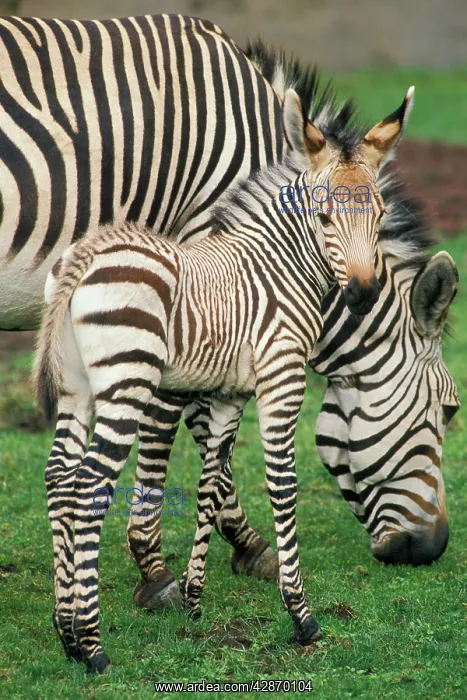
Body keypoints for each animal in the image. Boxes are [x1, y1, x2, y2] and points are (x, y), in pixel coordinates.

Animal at [33, 87, 412, 672]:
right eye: (325, 217)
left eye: (381, 213)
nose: (364, 294)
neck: (280, 266)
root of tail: (87, 253)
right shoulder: (281, 379)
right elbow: (282, 484)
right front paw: (300, 615)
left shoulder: (231, 393)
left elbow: (212, 482)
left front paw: (194, 602)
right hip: (126, 384)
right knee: (90, 485)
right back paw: (92, 643)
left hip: (77, 387)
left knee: (59, 477)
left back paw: (65, 634)